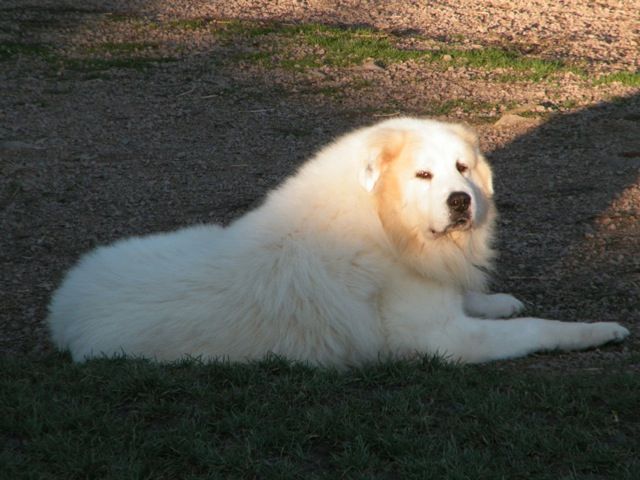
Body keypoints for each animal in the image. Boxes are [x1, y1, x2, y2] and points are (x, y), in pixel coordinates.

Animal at [48, 118, 632, 366]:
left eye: (462, 169)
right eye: (424, 175)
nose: (461, 201)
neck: (382, 223)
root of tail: (63, 311)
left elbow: (478, 299)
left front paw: (498, 298)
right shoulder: (445, 339)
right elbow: (537, 329)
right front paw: (597, 331)